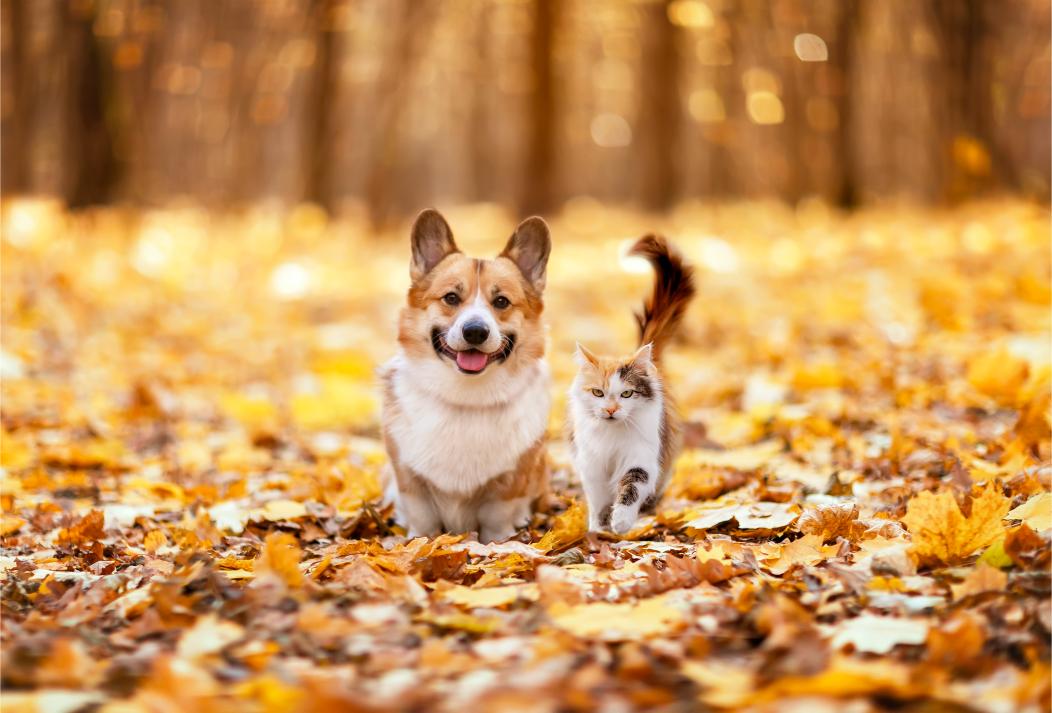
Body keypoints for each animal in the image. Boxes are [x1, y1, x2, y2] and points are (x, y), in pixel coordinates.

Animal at [382, 209, 555, 542]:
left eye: (501, 302)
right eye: (451, 298)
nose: (475, 331)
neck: (466, 397)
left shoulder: (507, 486)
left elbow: (496, 523)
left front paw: (497, 546)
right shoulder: (410, 481)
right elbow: (422, 523)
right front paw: (418, 545)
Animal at [572, 237, 694, 534]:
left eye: (626, 393)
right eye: (598, 392)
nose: (611, 410)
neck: (612, 438)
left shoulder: (641, 456)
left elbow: (632, 485)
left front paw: (621, 521)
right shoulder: (592, 465)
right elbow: (597, 501)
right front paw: (597, 528)